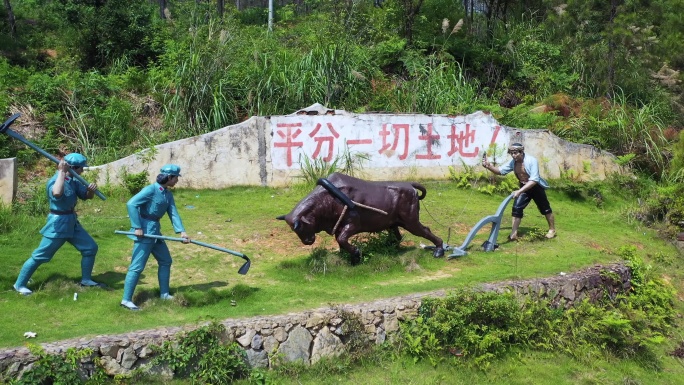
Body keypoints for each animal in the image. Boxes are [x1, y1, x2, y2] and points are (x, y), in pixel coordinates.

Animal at [276, 172, 446, 264]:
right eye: (294, 230)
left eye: (301, 226)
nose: (307, 241)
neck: (327, 198)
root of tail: (409, 185)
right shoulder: (339, 226)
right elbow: (340, 242)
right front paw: (347, 257)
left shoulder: (352, 224)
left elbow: (342, 239)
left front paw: (357, 254)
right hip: (394, 222)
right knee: (396, 236)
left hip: (411, 222)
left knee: (425, 230)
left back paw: (439, 250)